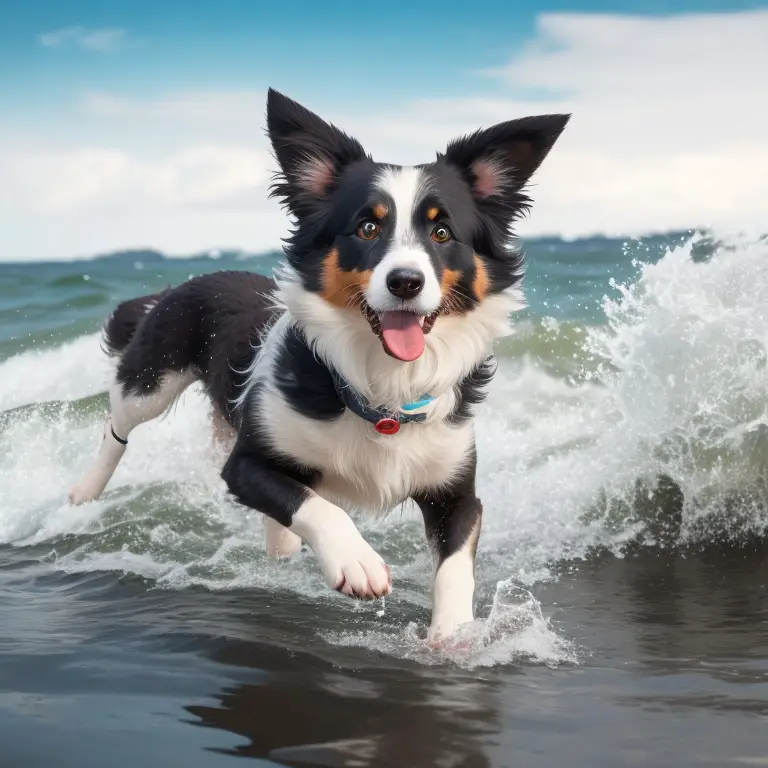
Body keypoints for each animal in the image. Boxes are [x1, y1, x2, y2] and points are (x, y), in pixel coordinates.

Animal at [67, 88, 568, 640]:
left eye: (442, 232)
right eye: (367, 227)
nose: (405, 282)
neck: (381, 388)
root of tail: (186, 282)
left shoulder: (456, 490)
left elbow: (456, 564)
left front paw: (453, 636)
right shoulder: (245, 464)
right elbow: (314, 505)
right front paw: (356, 562)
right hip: (151, 377)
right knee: (117, 424)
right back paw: (85, 491)